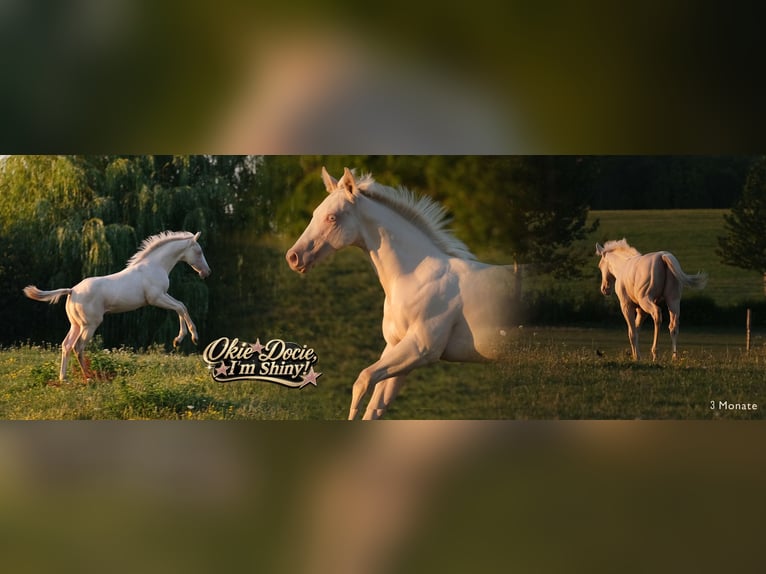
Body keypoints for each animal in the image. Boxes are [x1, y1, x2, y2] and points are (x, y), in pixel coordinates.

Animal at [24, 231, 211, 381]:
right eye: (199, 251)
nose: (207, 273)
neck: (154, 266)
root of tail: (72, 291)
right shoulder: (156, 298)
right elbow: (181, 307)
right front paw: (190, 338)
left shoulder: (163, 296)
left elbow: (181, 306)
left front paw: (178, 341)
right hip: (90, 325)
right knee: (78, 347)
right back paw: (88, 377)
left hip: (76, 325)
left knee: (66, 346)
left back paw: (64, 378)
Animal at [286, 167, 517, 420]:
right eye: (315, 213)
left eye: (332, 217)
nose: (293, 257)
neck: (415, 278)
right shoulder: (396, 349)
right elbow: (375, 404)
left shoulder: (420, 349)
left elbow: (363, 381)